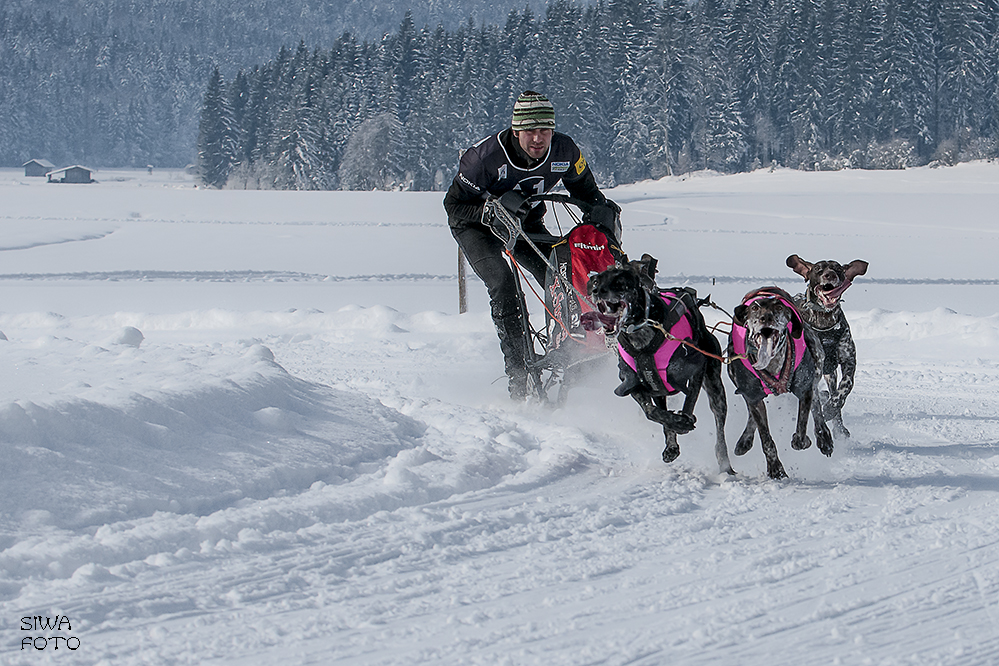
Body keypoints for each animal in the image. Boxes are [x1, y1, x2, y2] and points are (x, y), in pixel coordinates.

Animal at [584, 252, 736, 474]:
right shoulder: (634, 383)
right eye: (596, 281)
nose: (596, 290)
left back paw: (724, 462)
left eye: (619, 282)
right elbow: (653, 413)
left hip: (715, 387)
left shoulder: (696, 371)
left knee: (719, 426)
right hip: (660, 389)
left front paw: (684, 420)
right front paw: (675, 430)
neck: (642, 333)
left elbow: (690, 400)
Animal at [788, 253, 868, 436]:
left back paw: (839, 427)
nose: (829, 275)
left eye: (838, 268)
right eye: (818, 269)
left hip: (830, 374)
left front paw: (832, 407)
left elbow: (846, 386)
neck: (824, 325)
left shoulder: (848, 360)